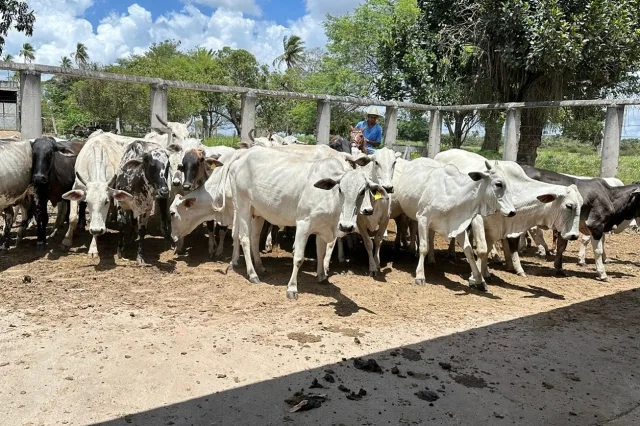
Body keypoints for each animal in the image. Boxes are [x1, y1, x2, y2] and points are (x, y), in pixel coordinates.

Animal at [215, 146, 380, 300]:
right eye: (340, 189)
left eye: (362, 191)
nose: (346, 226)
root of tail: (242, 154)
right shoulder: (303, 225)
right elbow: (299, 258)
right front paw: (292, 288)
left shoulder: (322, 228)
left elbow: (321, 254)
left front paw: (322, 277)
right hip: (242, 206)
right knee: (244, 238)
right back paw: (252, 274)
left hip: (257, 212)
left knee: (254, 238)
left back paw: (260, 267)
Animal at [396, 157, 516, 286]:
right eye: (498, 184)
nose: (512, 212)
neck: (454, 195)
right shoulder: (423, 218)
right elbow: (423, 247)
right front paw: (420, 276)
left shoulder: (458, 225)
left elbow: (469, 251)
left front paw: (479, 280)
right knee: (412, 229)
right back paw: (412, 251)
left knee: (431, 238)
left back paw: (431, 259)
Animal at [436, 150, 584, 282]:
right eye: (569, 205)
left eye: (582, 205)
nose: (574, 235)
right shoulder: (478, 220)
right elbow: (483, 249)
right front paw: (475, 277)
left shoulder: (496, 227)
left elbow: (488, 248)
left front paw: (486, 272)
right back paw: (451, 253)